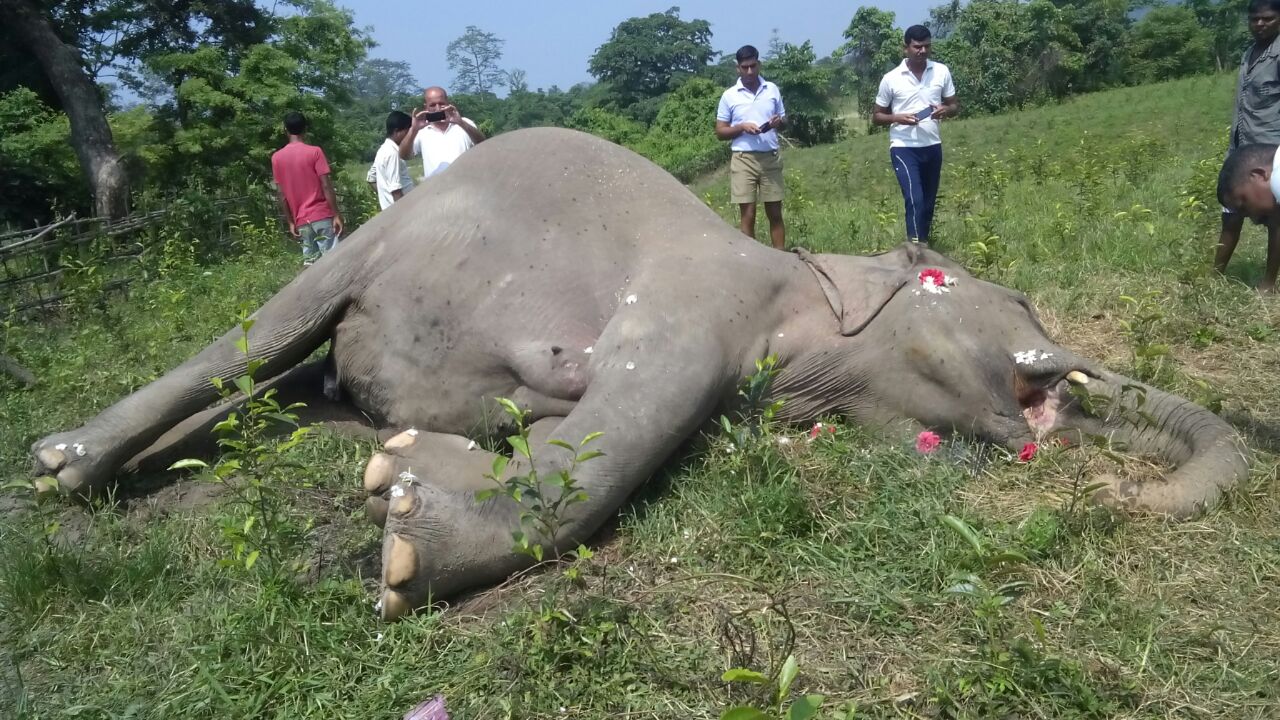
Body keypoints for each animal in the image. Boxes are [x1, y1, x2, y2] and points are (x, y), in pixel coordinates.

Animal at [31, 127, 1250, 620]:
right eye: (978, 288)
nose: (1114, 482)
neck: (801, 287)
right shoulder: (690, 301)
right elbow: (621, 427)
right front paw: (400, 522)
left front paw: (403, 485)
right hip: (375, 241)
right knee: (254, 337)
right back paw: (57, 468)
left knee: (283, 383)